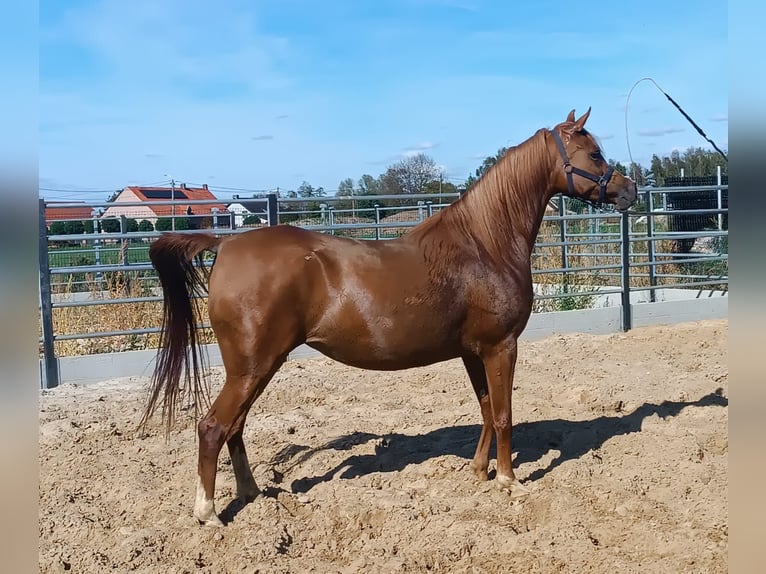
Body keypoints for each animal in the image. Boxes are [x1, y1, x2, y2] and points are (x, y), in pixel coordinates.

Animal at [141, 108, 637, 526]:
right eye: (594, 153)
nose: (629, 190)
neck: (485, 243)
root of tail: (225, 243)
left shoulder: (474, 351)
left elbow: (484, 408)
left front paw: (479, 472)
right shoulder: (501, 346)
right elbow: (503, 413)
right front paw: (509, 480)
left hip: (254, 367)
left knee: (235, 427)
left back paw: (251, 494)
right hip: (252, 366)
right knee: (213, 427)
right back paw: (209, 513)